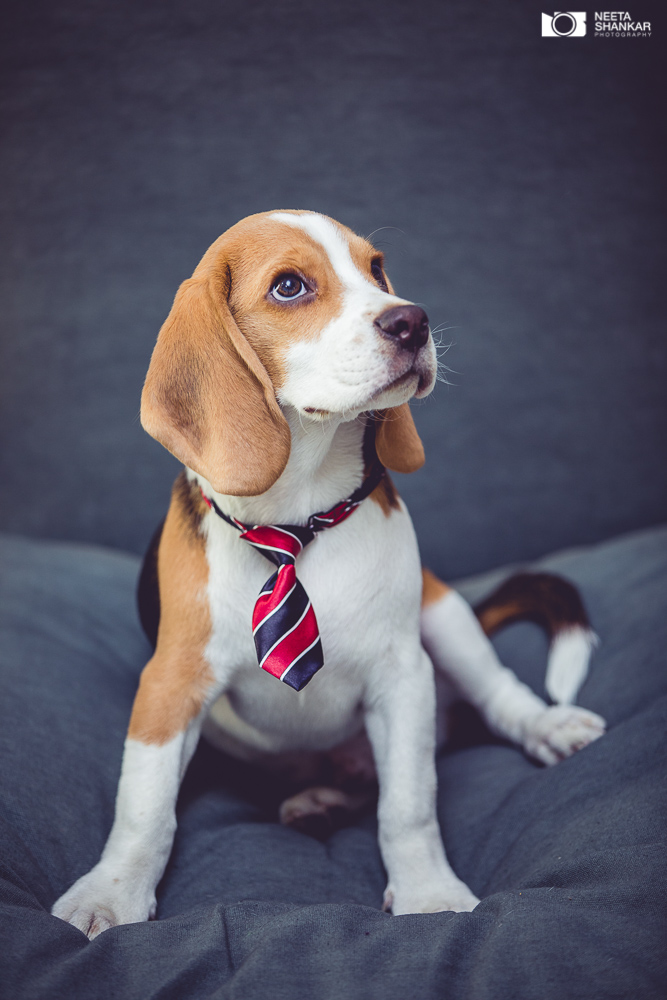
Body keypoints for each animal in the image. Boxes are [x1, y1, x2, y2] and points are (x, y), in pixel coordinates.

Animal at [52, 209, 604, 936]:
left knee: (495, 692)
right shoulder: (170, 683)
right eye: (289, 286)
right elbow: (144, 807)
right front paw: (110, 895)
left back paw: (544, 725)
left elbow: (408, 805)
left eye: (376, 270)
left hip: (442, 614)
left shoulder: (402, 676)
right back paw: (319, 800)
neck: (296, 523)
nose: (413, 320)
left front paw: (428, 893)